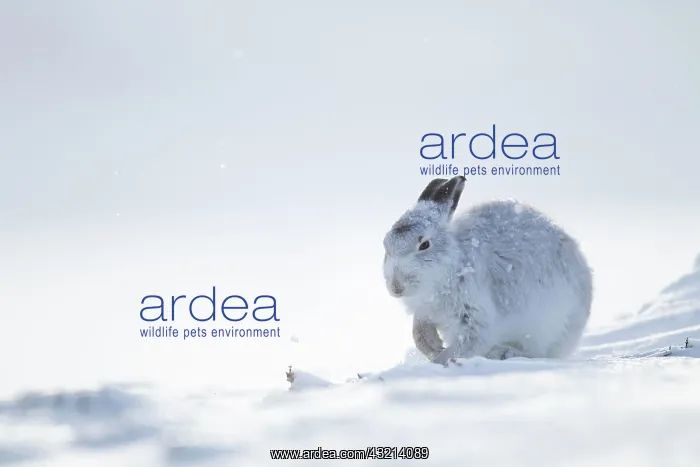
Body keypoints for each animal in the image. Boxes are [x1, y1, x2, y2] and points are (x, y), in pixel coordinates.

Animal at [383, 175, 593, 364]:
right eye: (386, 245)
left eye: (424, 244)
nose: (396, 288)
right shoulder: (424, 310)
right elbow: (419, 333)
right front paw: (433, 347)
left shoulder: (474, 317)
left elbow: (467, 344)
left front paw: (437, 363)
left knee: (538, 354)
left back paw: (503, 353)